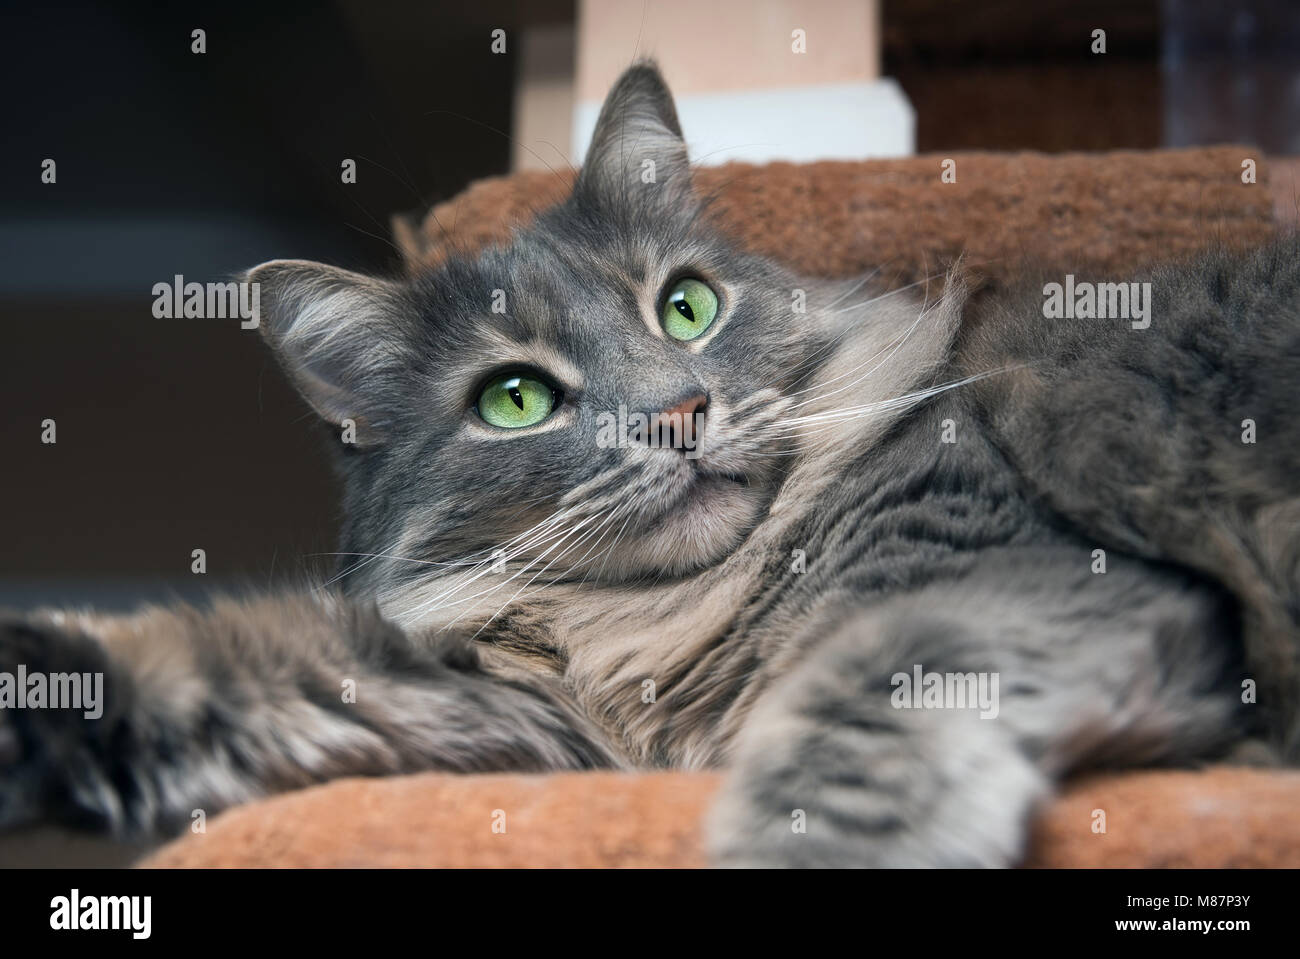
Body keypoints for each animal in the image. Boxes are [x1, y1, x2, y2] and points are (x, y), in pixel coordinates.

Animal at [2, 63, 1300, 862]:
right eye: (515, 399)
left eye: (684, 307)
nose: (676, 411)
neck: (670, 621)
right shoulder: (521, 720)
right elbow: (224, 664)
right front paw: (38, 710)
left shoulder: (1002, 581)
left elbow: (855, 717)